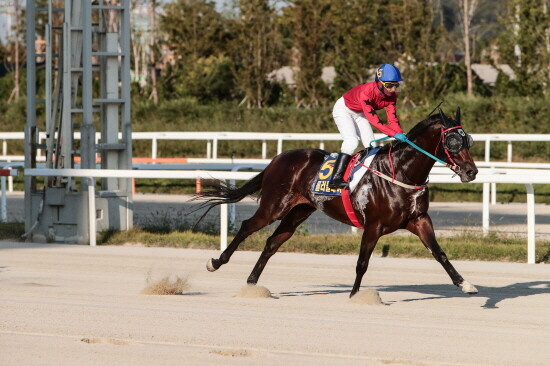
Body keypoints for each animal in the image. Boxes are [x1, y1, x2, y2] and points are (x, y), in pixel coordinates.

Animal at [196, 108, 480, 298]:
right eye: (453, 141)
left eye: (468, 139)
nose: (471, 171)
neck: (401, 172)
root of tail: (278, 158)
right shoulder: (373, 225)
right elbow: (362, 262)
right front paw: (355, 297)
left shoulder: (418, 220)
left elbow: (440, 254)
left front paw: (465, 284)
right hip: (274, 206)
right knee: (247, 227)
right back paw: (216, 263)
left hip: (299, 210)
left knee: (272, 242)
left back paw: (252, 284)